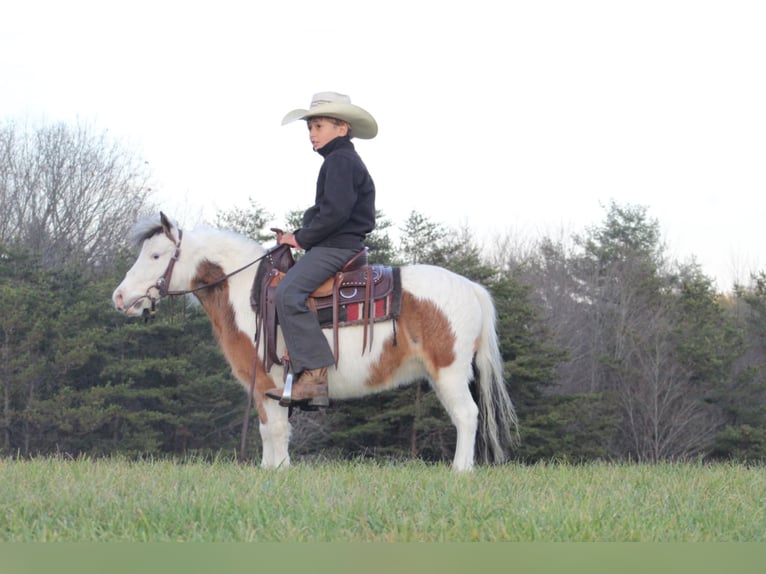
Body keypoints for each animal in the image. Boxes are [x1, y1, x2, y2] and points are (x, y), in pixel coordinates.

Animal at [111, 214, 520, 470]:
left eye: (156, 255)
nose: (119, 298)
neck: (248, 293)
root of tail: (470, 287)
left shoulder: (270, 381)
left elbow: (277, 429)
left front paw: (280, 471)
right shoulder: (262, 389)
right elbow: (266, 429)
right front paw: (268, 469)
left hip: (449, 372)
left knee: (467, 416)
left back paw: (460, 471)